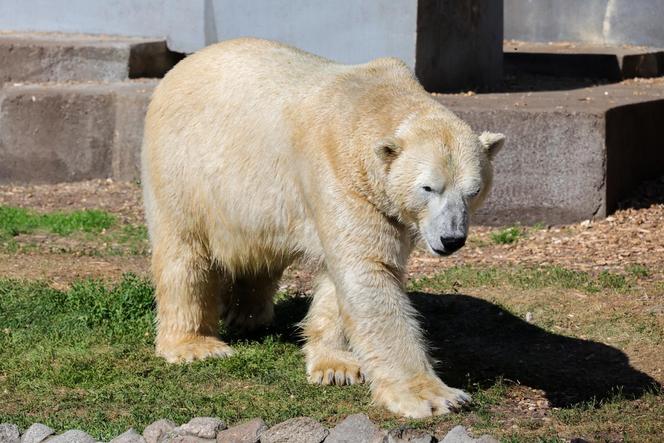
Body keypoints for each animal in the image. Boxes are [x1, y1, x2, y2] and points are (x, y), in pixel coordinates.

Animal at [140, 39, 504, 420]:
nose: (451, 240)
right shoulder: (340, 173)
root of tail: (182, 66)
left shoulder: (377, 202)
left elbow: (341, 277)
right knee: (184, 251)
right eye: (428, 188)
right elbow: (369, 273)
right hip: (183, 165)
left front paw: (335, 366)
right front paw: (434, 396)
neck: (370, 103)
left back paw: (246, 314)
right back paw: (195, 345)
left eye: (474, 191)